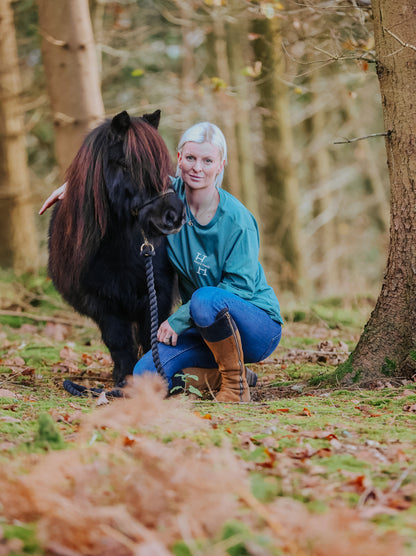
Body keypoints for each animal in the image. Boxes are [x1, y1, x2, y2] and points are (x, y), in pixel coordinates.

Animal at [48, 109, 184, 386]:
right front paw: (125, 378)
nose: (173, 215)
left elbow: (150, 336)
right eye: (126, 164)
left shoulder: (158, 293)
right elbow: (118, 341)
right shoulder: (101, 302)